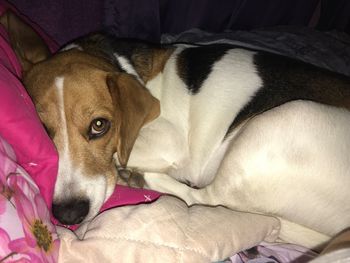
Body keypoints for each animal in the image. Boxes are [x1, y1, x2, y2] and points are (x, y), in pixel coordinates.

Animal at [3, 10, 350, 250]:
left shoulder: (169, 141)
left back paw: (140, 178)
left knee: (205, 198)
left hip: (283, 120)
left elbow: (127, 151)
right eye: (43, 128)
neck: (126, 64)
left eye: (99, 126)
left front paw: (125, 168)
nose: (69, 215)